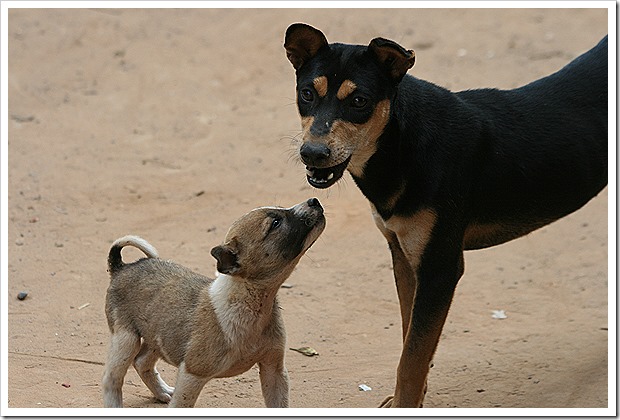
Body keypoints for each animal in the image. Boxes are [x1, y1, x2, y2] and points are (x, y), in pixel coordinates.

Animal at [284, 23, 608, 406]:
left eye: (359, 101)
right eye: (307, 93)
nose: (312, 153)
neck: (400, 145)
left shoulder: (440, 268)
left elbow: (412, 358)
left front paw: (406, 404)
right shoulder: (404, 255)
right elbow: (412, 342)